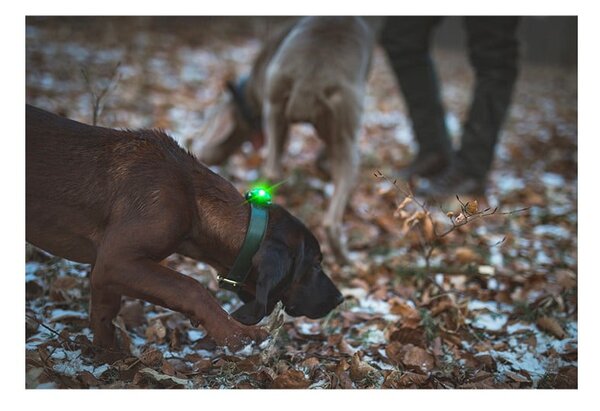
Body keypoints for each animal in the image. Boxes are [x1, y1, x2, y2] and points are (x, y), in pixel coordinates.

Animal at [25, 104, 342, 352]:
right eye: (315, 265)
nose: (339, 299)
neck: (192, 199)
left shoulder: (103, 271)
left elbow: (104, 318)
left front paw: (107, 359)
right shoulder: (115, 261)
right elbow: (191, 288)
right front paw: (237, 335)